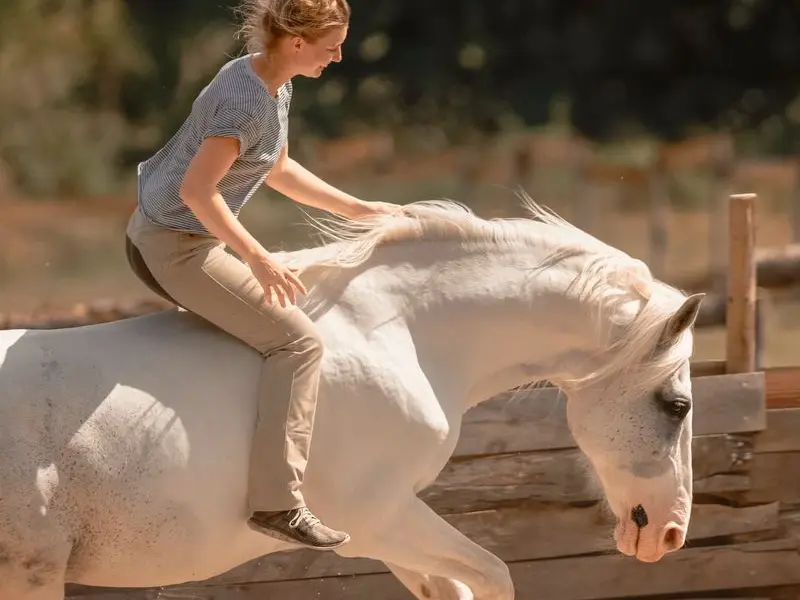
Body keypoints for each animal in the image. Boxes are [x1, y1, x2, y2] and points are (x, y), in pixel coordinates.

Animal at [0, 194, 703, 600]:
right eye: (677, 405)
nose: (669, 535)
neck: (402, 331)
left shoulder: (390, 533)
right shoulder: (380, 520)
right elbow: (492, 577)